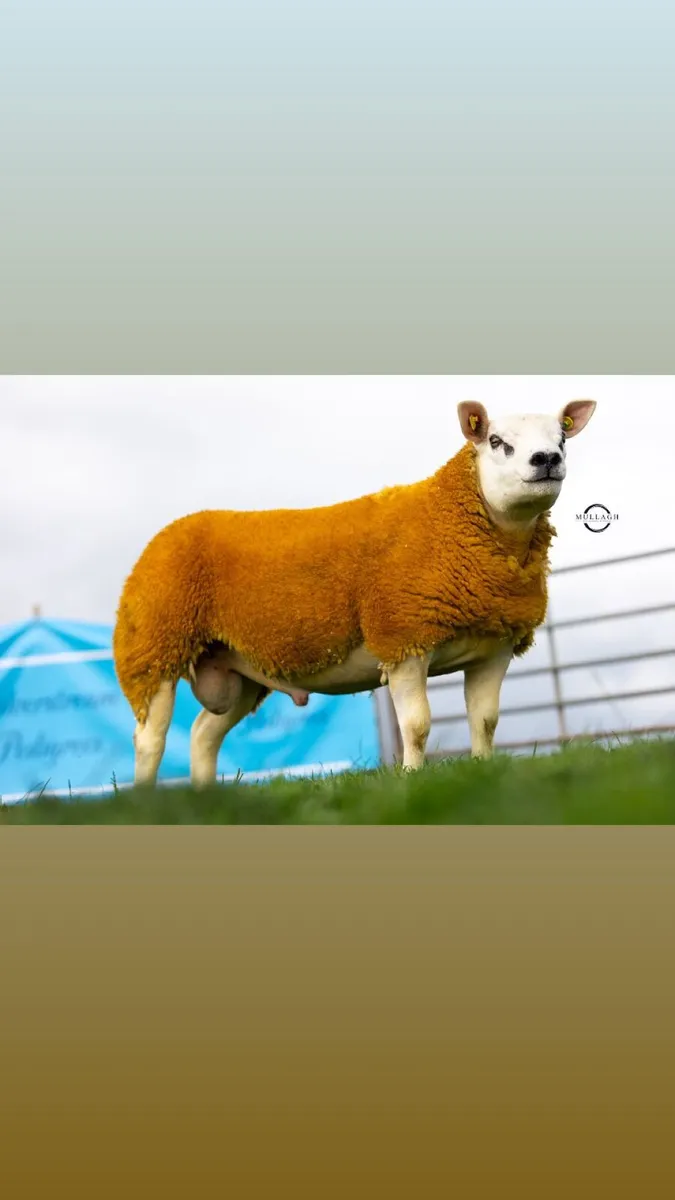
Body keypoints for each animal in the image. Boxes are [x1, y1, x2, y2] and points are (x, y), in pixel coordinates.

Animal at [113, 398, 596, 785]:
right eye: (496, 441)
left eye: (562, 438)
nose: (546, 459)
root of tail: (170, 531)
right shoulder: (404, 639)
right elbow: (417, 725)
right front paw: (411, 780)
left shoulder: (493, 648)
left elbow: (486, 721)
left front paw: (482, 773)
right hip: (154, 648)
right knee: (149, 739)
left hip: (239, 670)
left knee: (202, 735)